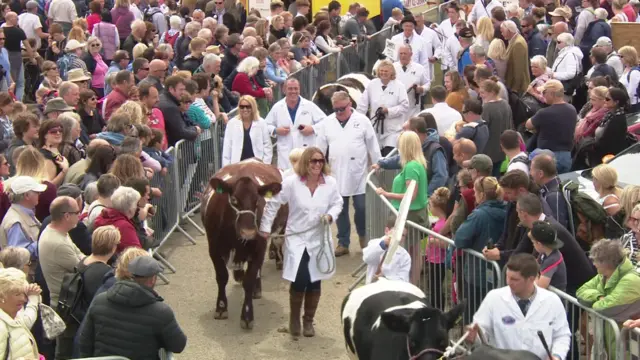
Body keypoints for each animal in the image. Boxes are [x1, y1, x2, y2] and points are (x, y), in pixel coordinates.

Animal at [204, 160, 286, 330]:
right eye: (234, 199)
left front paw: (247, 315)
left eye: (257, 201)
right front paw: (221, 307)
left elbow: (249, 280)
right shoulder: (213, 249)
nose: (248, 232)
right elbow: (221, 277)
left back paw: (257, 287)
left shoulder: (259, 247)